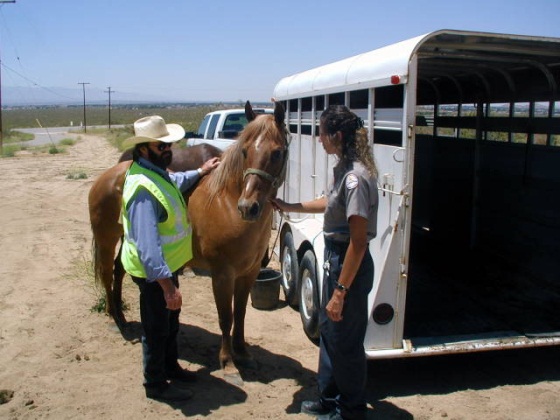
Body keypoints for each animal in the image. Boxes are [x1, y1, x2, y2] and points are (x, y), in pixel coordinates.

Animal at [89, 101, 288, 378]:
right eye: (245, 151)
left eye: (277, 153)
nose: (248, 207)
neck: (226, 202)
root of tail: (107, 176)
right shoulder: (222, 275)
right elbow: (226, 316)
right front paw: (228, 362)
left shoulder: (247, 274)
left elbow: (241, 314)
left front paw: (243, 354)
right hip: (107, 239)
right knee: (108, 273)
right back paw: (114, 317)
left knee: (119, 271)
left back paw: (122, 316)